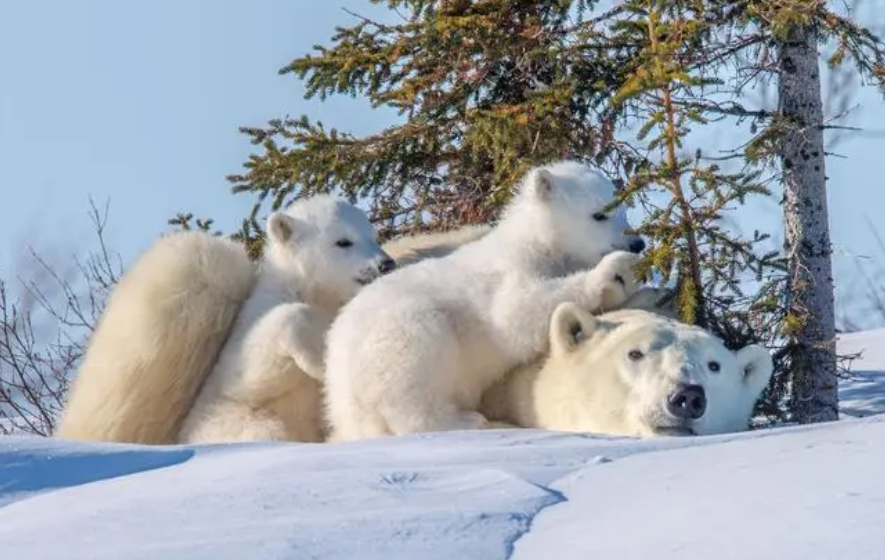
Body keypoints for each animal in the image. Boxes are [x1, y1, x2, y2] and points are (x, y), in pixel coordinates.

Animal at [324, 160, 648, 440]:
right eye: (599, 214)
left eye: (623, 210)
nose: (637, 243)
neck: (541, 243)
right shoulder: (509, 270)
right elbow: (517, 313)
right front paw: (612, 270)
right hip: (395, 338)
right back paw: (465, 420)